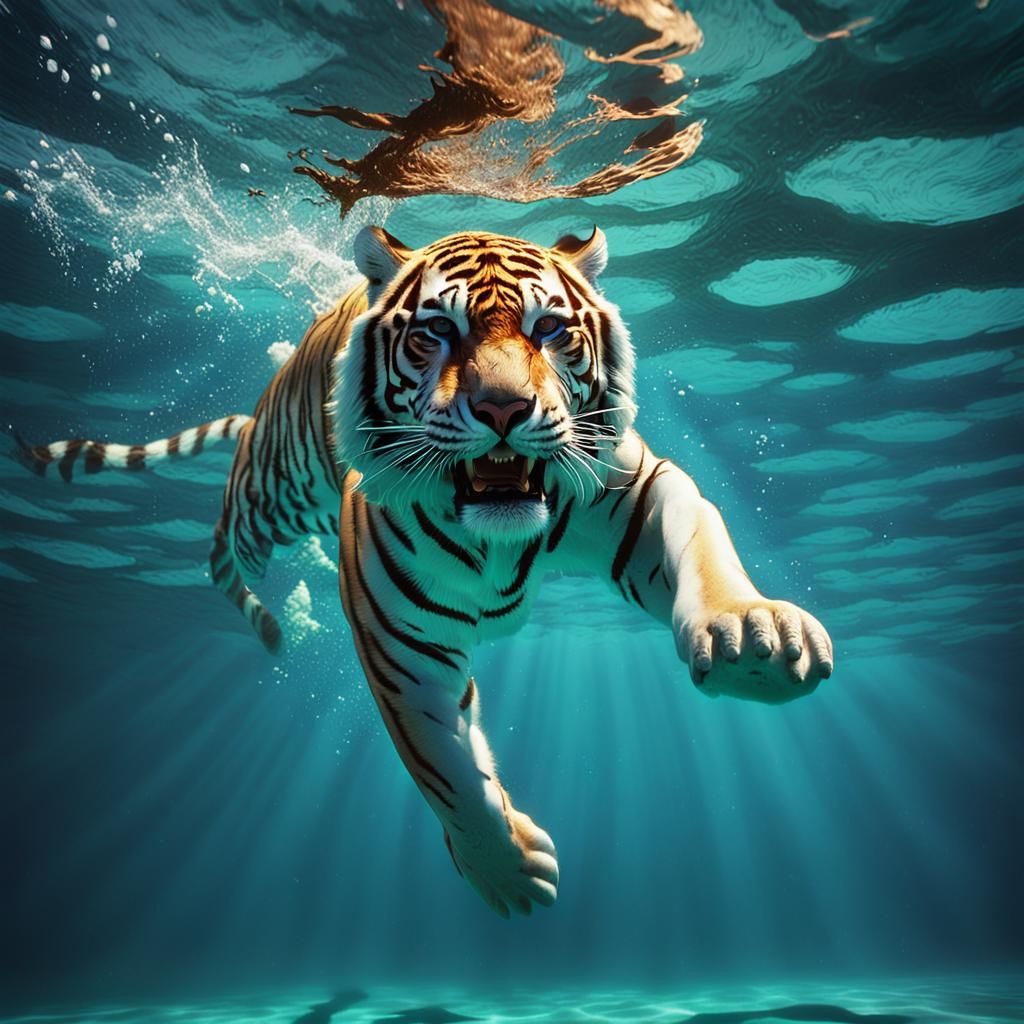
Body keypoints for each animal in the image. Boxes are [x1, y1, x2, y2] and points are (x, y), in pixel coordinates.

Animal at [22, 226, 834, 917]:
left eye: (549, 330)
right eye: (438, 331)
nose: (504, 409)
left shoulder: (635, 489)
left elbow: (700, 538)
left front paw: (752, 639)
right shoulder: (401, 646)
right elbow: (445, 769)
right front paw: (509, 873)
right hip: (271, 495)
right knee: (224, 542)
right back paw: (266, 622)